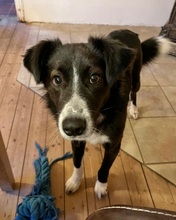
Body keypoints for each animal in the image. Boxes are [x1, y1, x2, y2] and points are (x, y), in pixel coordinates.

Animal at [23, 29, 170, 199]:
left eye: (94, 78)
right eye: (57, 79)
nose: (73, 128)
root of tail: (129, 31)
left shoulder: (114, 145)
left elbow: (104, 168)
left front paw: (101, 186)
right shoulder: (76, 141)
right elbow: (77, 162)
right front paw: (75, 181)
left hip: (136, 78)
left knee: (134, 92)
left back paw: (133, 109)